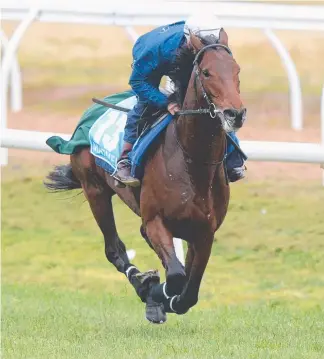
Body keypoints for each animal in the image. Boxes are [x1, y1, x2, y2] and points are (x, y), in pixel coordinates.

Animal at [44, 29, 244, 324]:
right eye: (207, 72)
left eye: (237, 70)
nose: (235, 114)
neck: (192, 164)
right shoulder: (155, 220)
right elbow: (176, 277)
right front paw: (152, 293)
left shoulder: (205, 232)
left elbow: (189, 291)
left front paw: (163, 297)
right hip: (95, 190)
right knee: (114, 250)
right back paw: (142, 283)